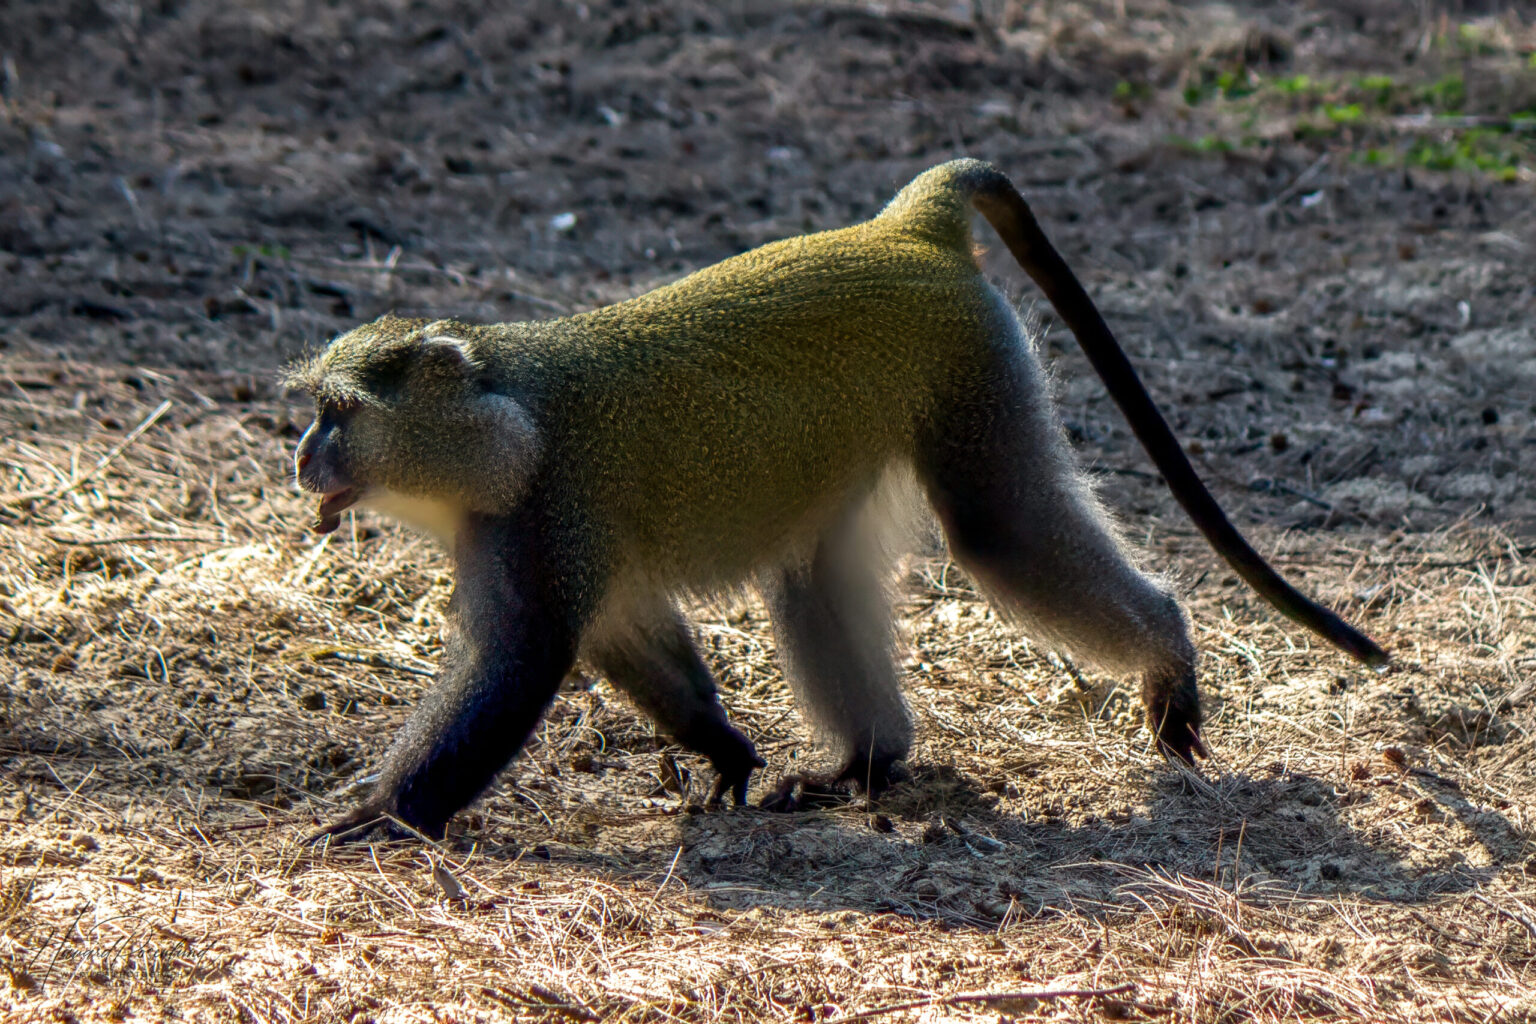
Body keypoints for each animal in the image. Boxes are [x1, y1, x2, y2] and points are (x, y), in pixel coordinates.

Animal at [287, 158, 1386, 841]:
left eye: (338, 412)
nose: (301, 456)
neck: (509, 416)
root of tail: (907, 228)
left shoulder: (547, 509)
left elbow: (519, 660)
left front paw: (380, 816)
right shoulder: (556, 539)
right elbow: (628, 633)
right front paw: (726, 749)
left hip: (970, 375)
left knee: (1003, 532)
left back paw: (1165, 651)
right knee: (812, 574)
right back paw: (867, 761)